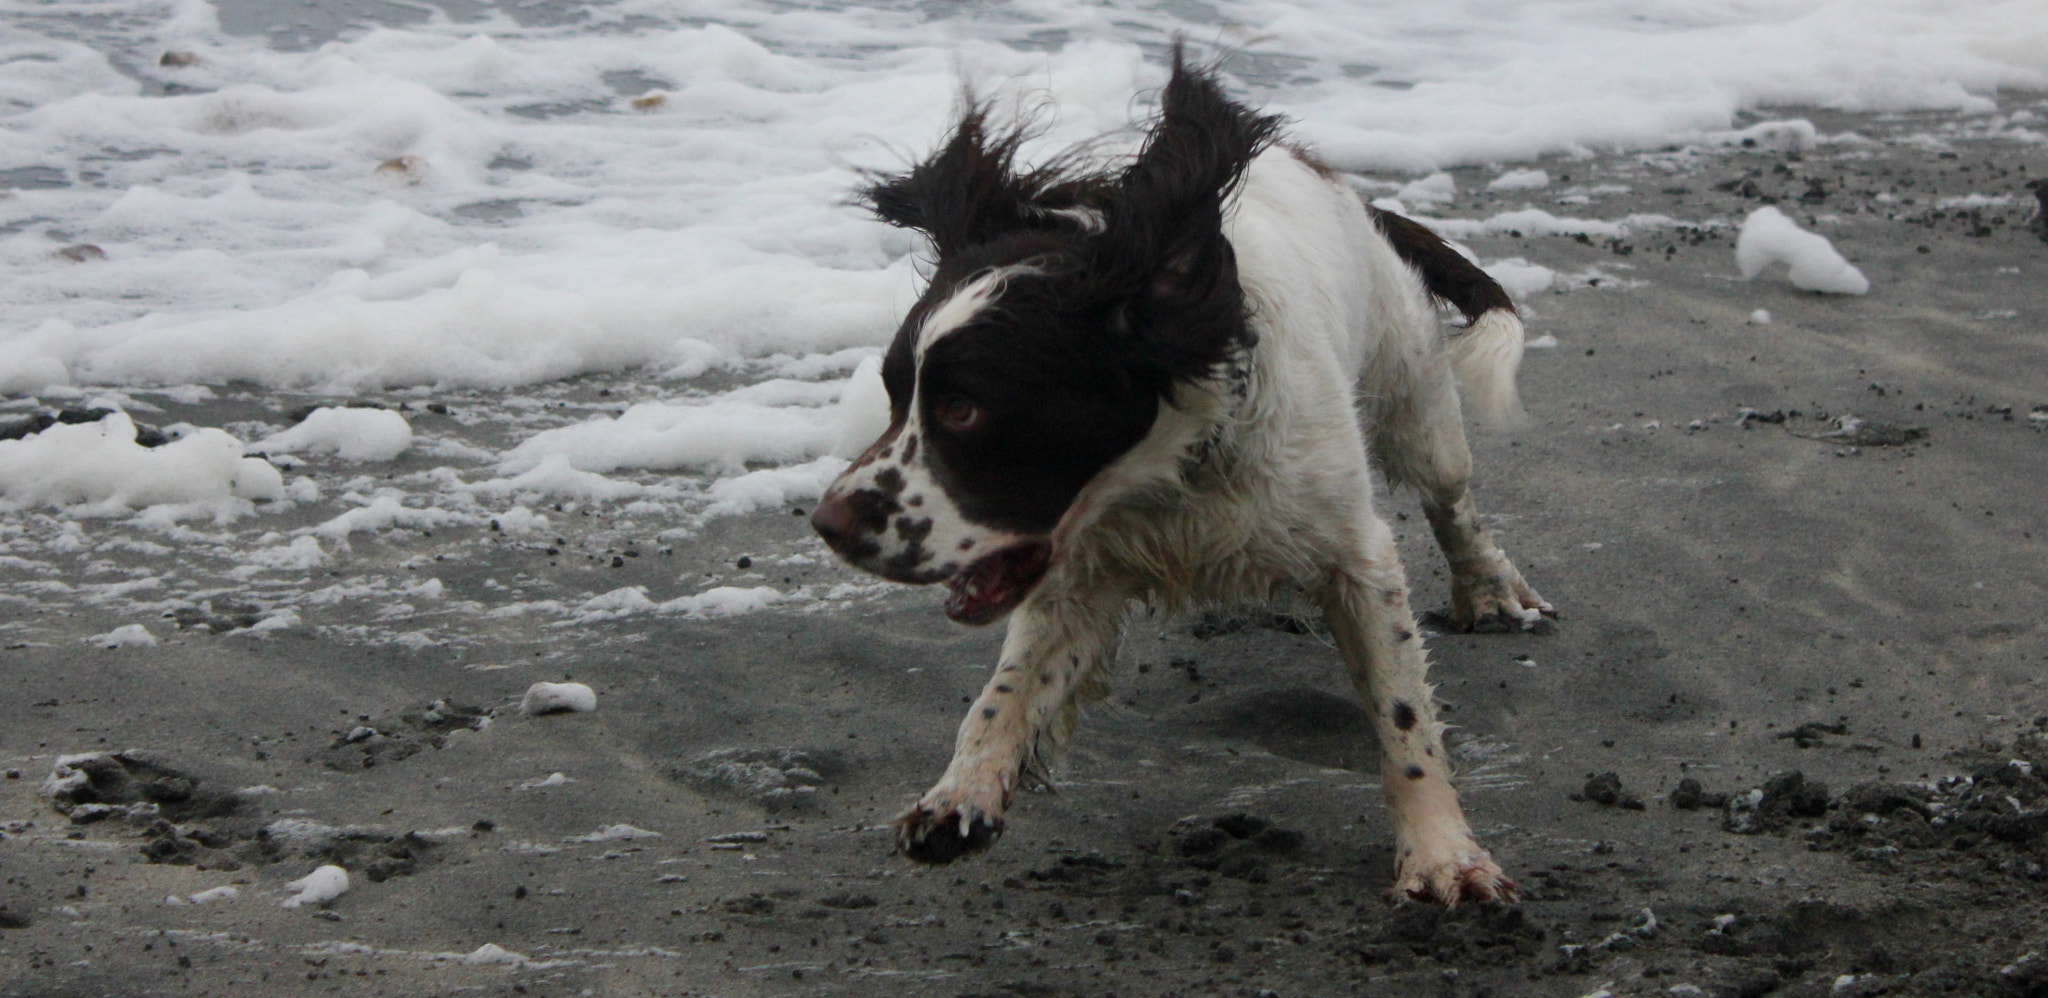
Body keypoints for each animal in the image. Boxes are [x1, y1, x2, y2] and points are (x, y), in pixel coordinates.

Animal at [806, 48, 1540, 905]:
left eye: (963, 410)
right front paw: (960, 798)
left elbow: (1404, 722)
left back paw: (1488, 587)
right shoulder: (1077, 579)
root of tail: (1339, 184)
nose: (827, 524)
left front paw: (1442, 855)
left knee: (1452, 500)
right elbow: (1002, 698)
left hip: (1413, 397)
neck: (1170, 475)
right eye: (894, 397)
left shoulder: (1356, 561)